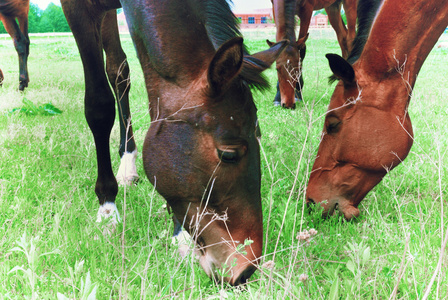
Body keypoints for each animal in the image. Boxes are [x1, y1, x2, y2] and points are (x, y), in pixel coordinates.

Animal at [60, 0, 288, 286]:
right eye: (228, 154)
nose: (245, 271)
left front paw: (181, 235)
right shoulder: (77, 11)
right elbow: (99, 107)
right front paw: (108, 209)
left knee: (119, 70)